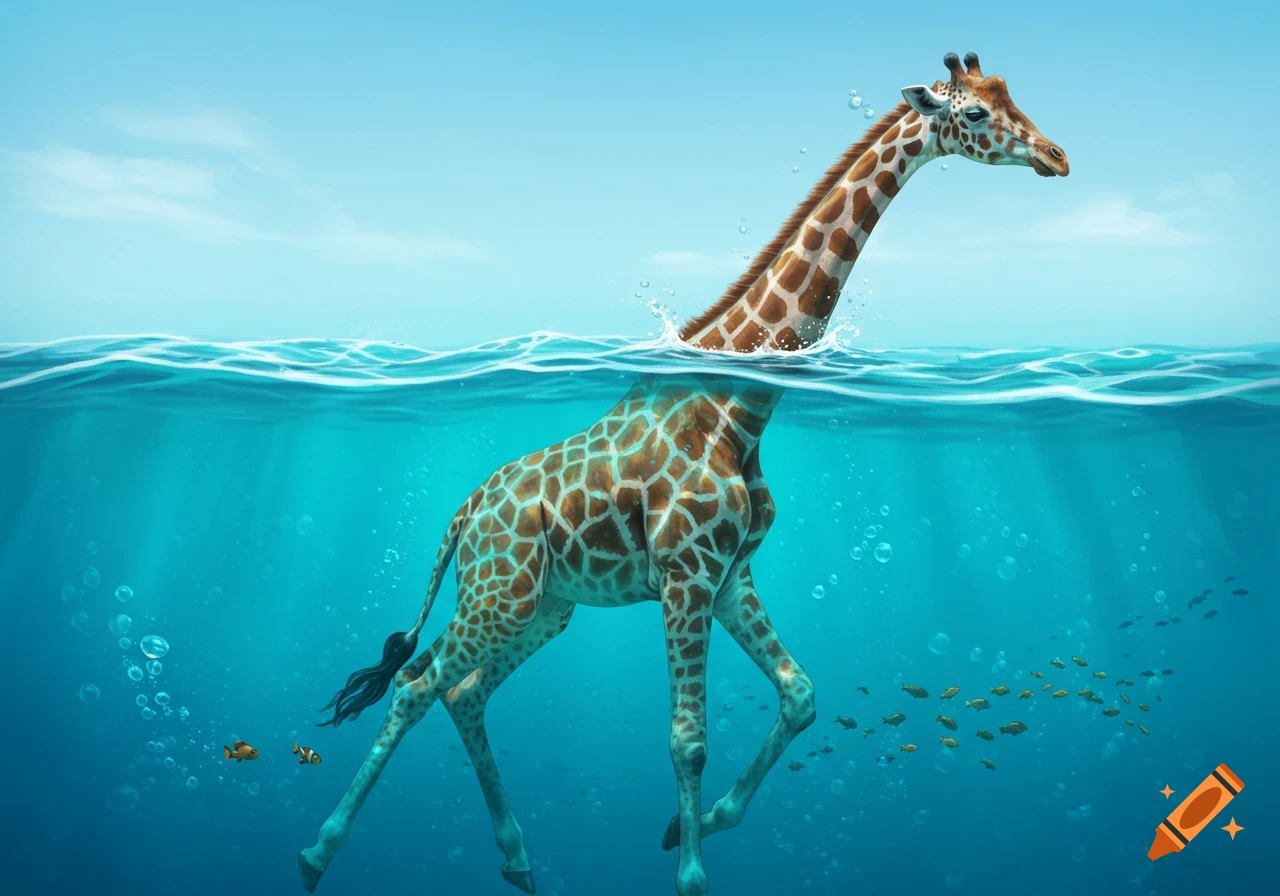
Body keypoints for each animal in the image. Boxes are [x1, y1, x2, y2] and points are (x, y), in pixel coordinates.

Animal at [297, 52, 1068, 896]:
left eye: (1012, 96)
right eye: (976, 114)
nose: (1058, 157)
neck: (740, 409)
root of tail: (465, 510)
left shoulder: (729, 574)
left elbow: (800, 696)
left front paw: (692, 825)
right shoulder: (685, 573)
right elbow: (687, 738)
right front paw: (692, 870)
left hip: (544, 608)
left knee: (460, 692)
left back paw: (518, 860)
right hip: (501, 597)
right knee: (414, 684)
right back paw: (316, 852)